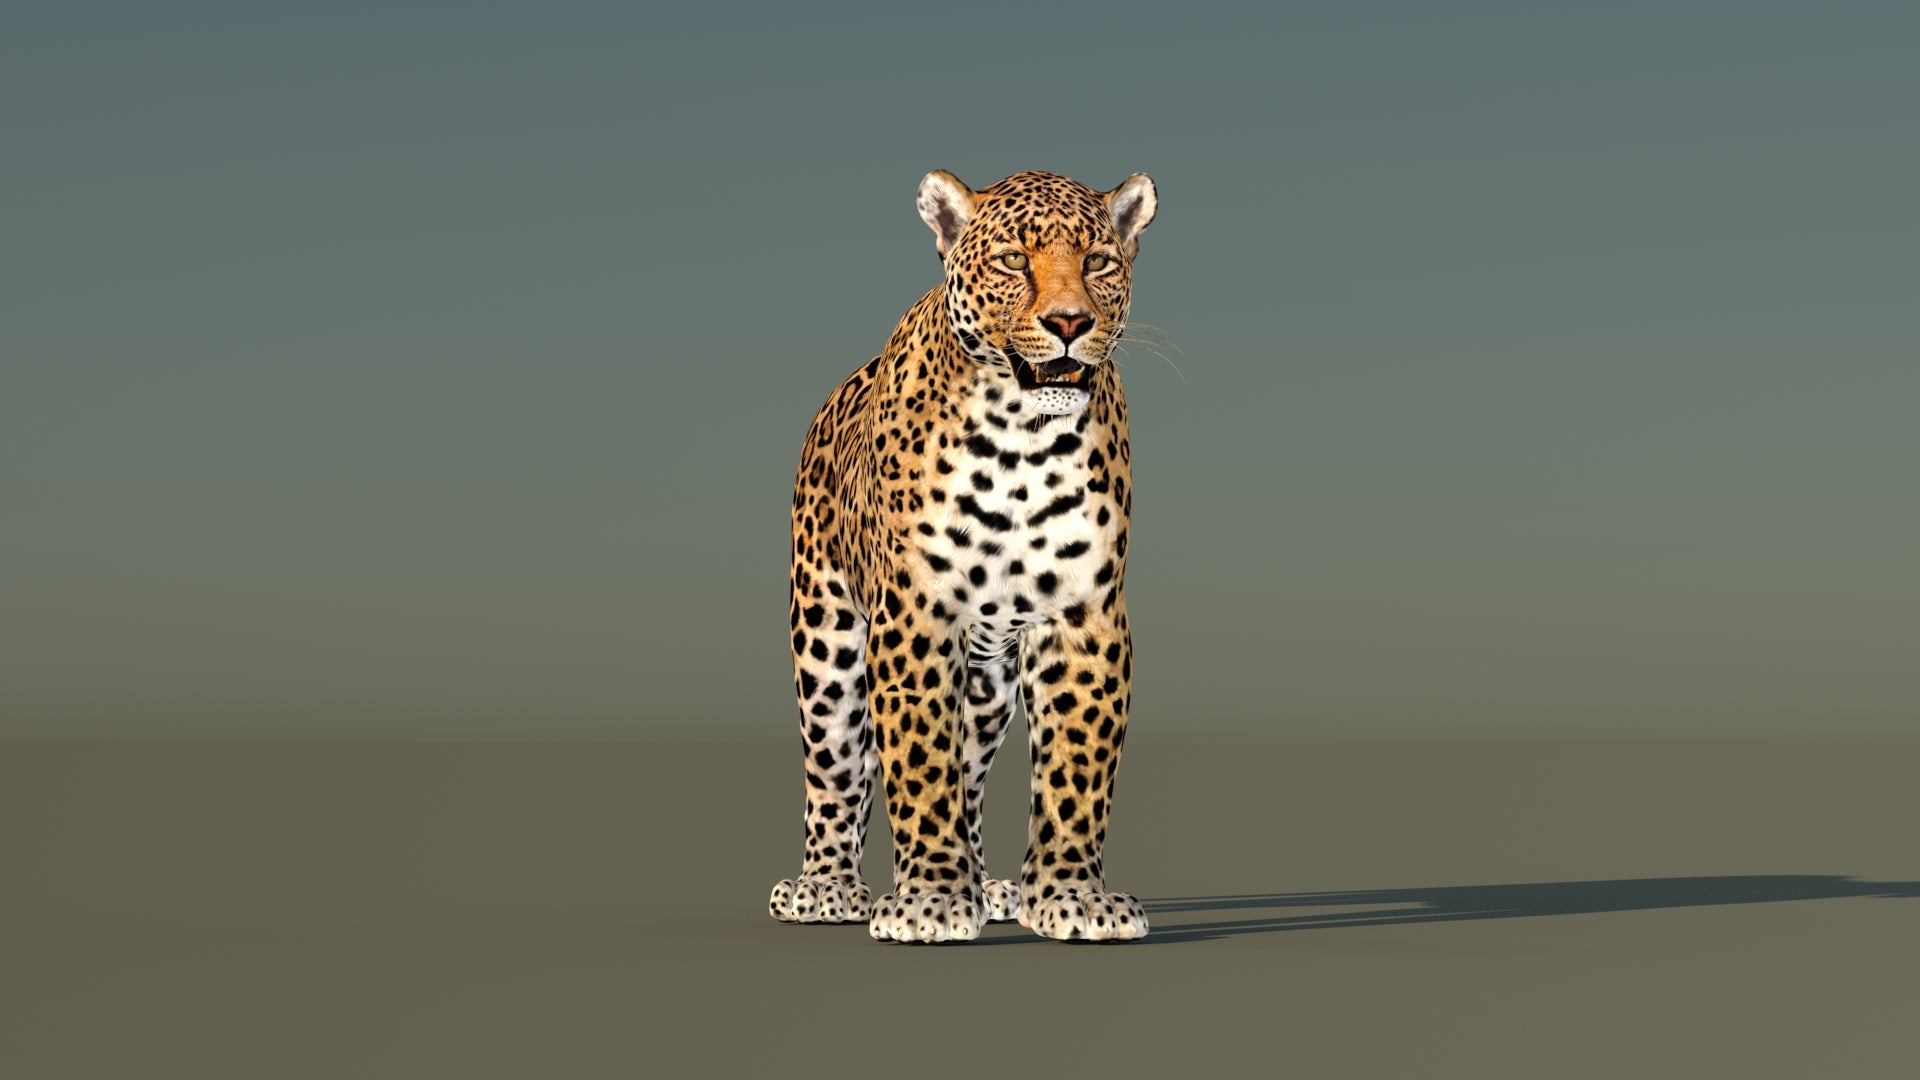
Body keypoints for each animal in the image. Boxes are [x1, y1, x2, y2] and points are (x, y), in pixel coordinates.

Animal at [768, 169, 1158, 943]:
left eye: (1100, 261)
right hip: (825, 641)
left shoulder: (1085, 616)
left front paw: (1071, 898)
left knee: (971, 774)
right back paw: (825, 887)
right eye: (1012, 261)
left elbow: (1077, 766)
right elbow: (919, 765)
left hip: (987, 683)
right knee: (834, 769)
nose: (1071, 322)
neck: (1022, 441)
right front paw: (929, 902)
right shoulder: (915, 616)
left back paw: (987, 887)